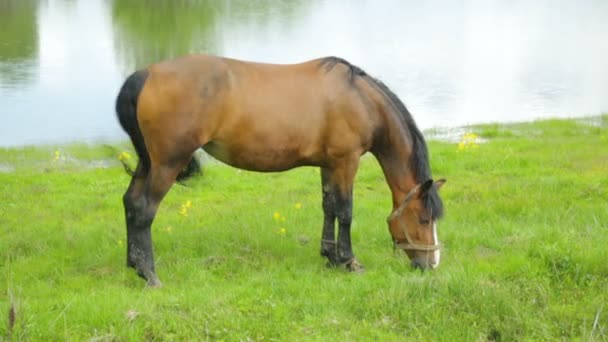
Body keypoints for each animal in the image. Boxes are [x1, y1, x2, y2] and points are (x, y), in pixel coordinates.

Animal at [115, 54, 446, 288]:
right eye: (423, 218)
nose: (431, 264)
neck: (360, 99)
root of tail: (146, 74)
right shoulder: (346, 162)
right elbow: (345, 212)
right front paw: (350, 261)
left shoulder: (329, 165)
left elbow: (328, 207)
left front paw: (330, 258)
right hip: (167, 164)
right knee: (143, 209)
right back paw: (149, 275)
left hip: (149, 163)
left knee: (130, 202)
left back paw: (134, 264)